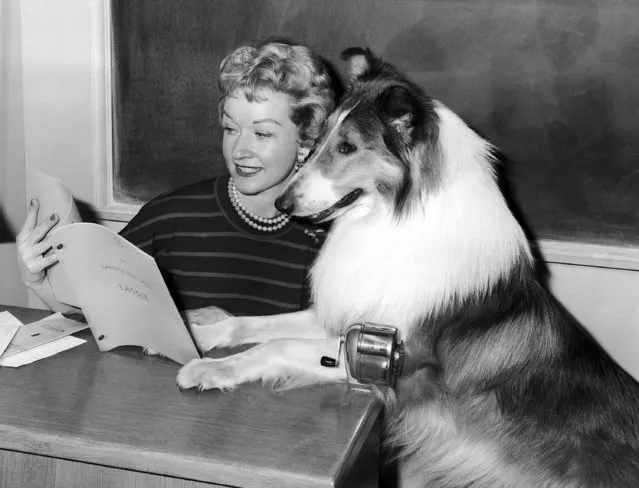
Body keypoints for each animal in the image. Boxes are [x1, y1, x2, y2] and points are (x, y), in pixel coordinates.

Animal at [178, 47, 639, 486]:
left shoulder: (395, 363)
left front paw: (210, 368)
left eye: (347, 147)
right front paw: (200, 333)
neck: (392, 219)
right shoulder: (350, 313)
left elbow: (277, 345)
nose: (281, 204)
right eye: (320, 137)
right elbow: (252, 324)